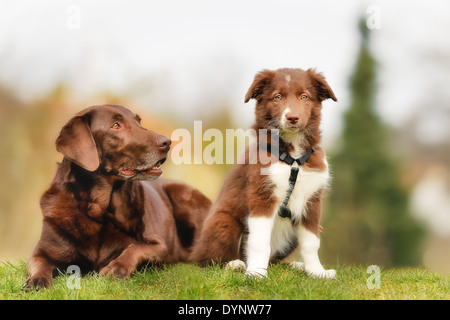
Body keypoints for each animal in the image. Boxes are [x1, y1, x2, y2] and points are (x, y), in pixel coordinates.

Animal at [191, 67, 338, 278]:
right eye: (277, 97)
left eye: (304, 96)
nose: (292, 117)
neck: (293, 157)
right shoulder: (262, 194)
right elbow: (260, 242)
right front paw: (256, 274)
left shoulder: (312, 200)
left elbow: (311, 242)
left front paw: (317, 272)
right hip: (223, 221)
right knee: (206, 261)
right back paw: (235, 264)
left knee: (276, 260)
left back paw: (296, 266)